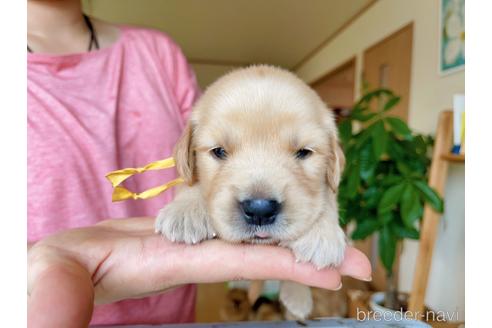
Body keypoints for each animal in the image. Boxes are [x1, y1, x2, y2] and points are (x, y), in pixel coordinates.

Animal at [155, 65, 346, 320]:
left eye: (304, 152)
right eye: (219, 151)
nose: (260, 210)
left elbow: (327, 199)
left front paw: (322, 235)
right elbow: (190, 183)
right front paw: (186, 212)